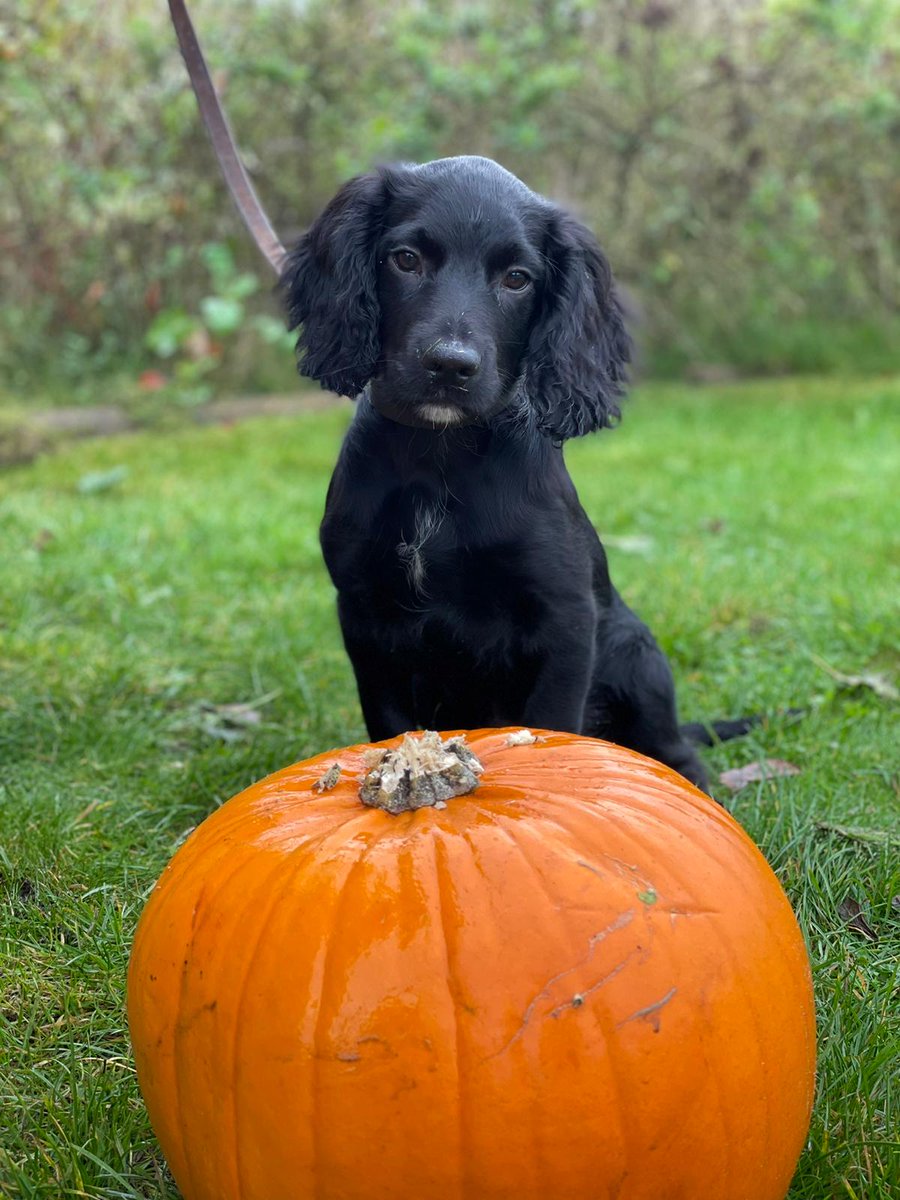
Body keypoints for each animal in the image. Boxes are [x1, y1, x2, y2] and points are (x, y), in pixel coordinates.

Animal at [285, 159, 715, 792]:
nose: (449, 366)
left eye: (517, 278)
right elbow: (388, 722)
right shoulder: (366, 615)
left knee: (677, 753)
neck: (439, 455)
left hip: (634, 650)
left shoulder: (566, 618)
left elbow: (552, 724)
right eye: (405, 259)